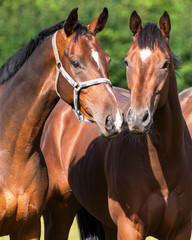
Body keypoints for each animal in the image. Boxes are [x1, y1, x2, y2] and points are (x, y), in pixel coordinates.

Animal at [41, 9, 192, 240]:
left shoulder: (181, 230)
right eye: (127, 62)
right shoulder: (130, 228)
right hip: (57, 213)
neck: (164, 168)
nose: (138, 119)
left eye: (166, 63)